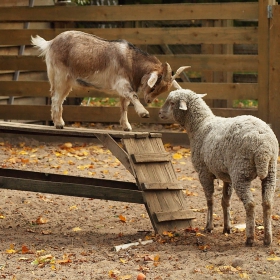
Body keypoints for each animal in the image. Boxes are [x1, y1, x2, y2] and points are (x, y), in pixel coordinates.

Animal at [31, 30, 188, 130]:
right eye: (155, 85)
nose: (149, 100)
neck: (132, 61)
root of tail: (50, 43)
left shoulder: (125, 87)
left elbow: (124, 106)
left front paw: (126, 126)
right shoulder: (122, 84)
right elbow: (133, 96)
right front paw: (143, 113)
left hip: (67, 81)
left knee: (59, 99)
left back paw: (59, 122)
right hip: (60, 76)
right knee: (56, 98)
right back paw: (58, 124)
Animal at [159, 89, 278, 245]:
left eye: (172, 103)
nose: (160, 113)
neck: (200, 126)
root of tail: (263, 147)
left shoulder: (204, 172)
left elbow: (210, 200)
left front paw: (208, 226)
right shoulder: (227, 176)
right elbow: (225, 201)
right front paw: (227, 228)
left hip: (240, 172)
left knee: (250, 204)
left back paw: (250, 238)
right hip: (270, 171)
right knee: (268, 203)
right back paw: (267, 239)